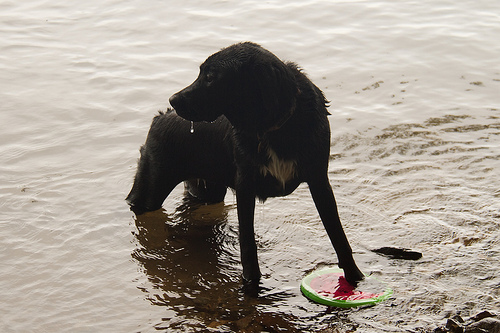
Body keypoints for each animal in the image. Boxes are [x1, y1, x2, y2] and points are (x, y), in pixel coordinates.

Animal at [129, 40, 364, 286]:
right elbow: (248, 246)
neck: (272, 128)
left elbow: (338, 236)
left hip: (207, 190)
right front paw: (251, 285)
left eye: (210, 77)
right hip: (150, 188)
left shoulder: (319, 180)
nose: (172, 100)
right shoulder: (245, 187)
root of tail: (160, 117)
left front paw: (355, 278)